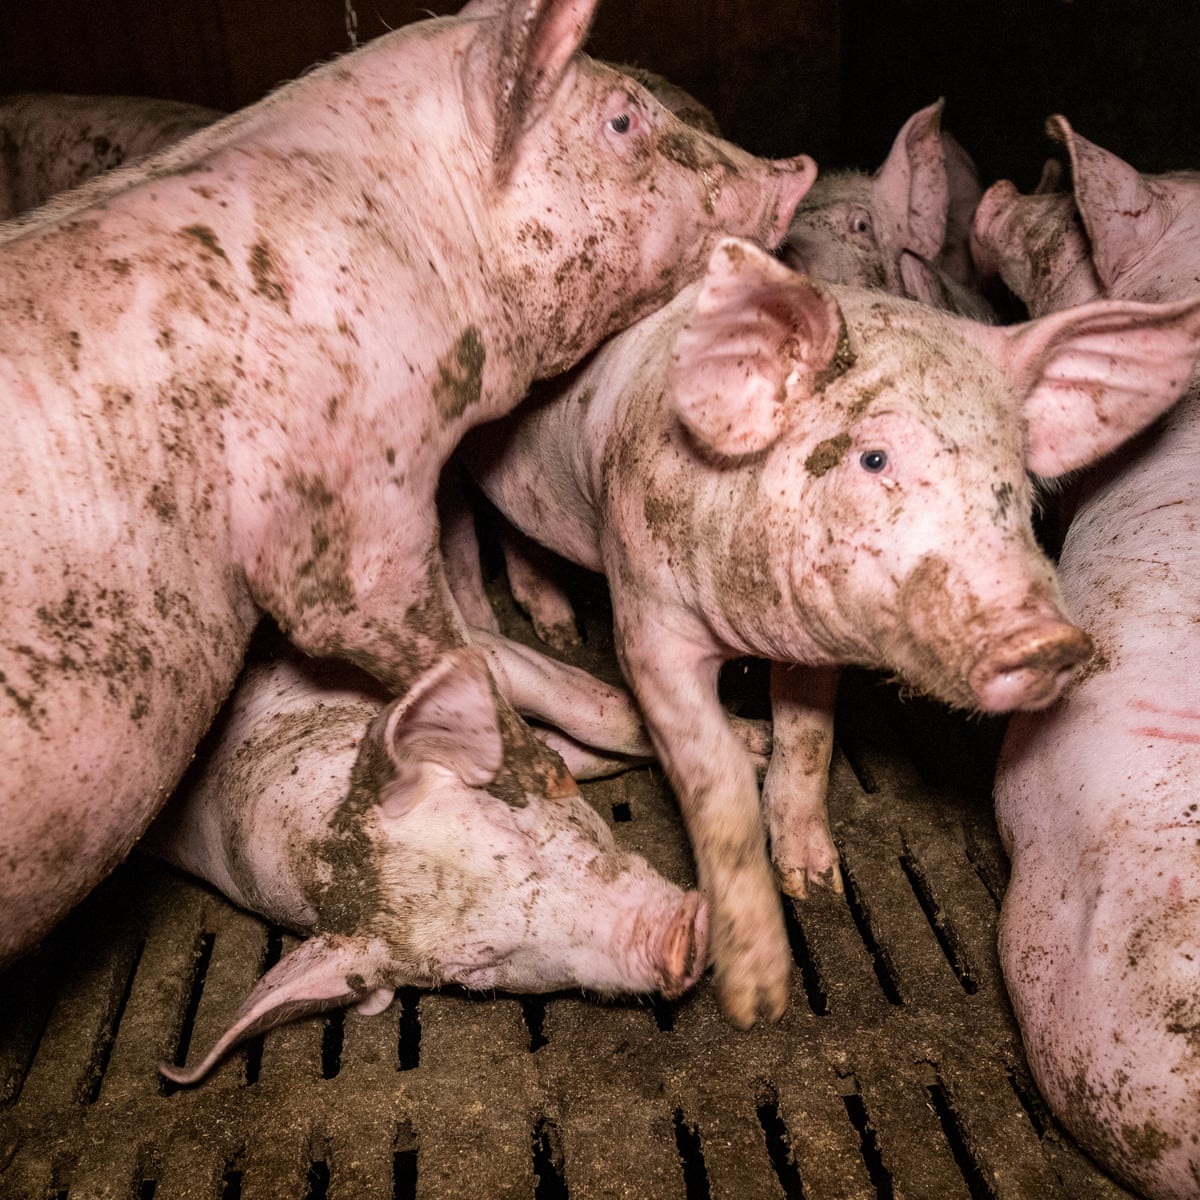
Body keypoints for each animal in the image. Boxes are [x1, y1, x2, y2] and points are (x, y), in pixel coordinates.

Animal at [463, 233, 1200, 1027]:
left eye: (1017, 483)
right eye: (873, 458)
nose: (1050, 642)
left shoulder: (813, 638)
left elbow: (812, 739)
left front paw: (816, 886)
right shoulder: (646, 616)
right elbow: (713, 779)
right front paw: (757, 1001)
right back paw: (552, 625)